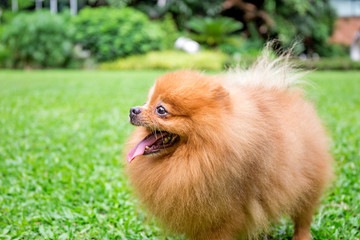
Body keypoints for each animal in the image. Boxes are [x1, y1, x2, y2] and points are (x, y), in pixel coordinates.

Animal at [126, 53, 332, 240]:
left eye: (161, 110)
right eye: (146, 102)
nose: (132, 110)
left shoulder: (223, 215)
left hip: (308, 183)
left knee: (303, 216)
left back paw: (301, 236)